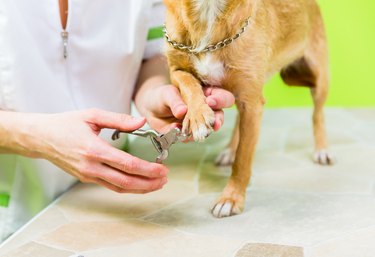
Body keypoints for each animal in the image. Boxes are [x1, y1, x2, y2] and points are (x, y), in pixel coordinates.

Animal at [163, 0, 334, 218]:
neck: (209, 12)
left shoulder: (252, 104)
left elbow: (243, 160)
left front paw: (230, 199)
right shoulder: (176, 70)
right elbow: (188, 83)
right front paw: (197, 115)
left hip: (319, 79)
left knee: (317, 114)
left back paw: (322, 150)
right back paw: (229, 150)